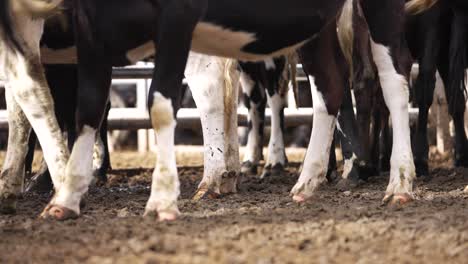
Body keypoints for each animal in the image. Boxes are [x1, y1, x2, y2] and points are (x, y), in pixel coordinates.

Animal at [0, 0, 416, 221]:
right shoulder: (88, 26)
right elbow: (76, 104)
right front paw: (64, 193)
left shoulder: (177, 16)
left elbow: (160, 103)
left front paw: (161, 198)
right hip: (316, 25)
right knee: (329, 84)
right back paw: (307, 180)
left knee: (393, 77)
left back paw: (399, 181)